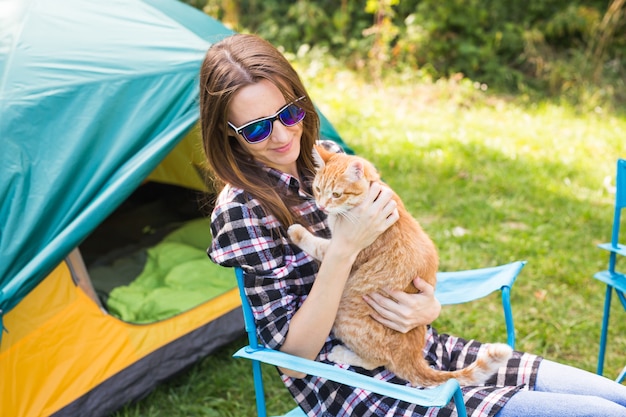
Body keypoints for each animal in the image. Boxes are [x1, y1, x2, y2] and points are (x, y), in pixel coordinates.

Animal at [286, 145, 510, 386]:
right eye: (317, 189)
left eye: (336, 194)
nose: (322, 205)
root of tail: (413, 356)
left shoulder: (345, 250)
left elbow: (317, 245)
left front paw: (297, 232)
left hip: (343, 315)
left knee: (377, 360)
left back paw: (342, 353)